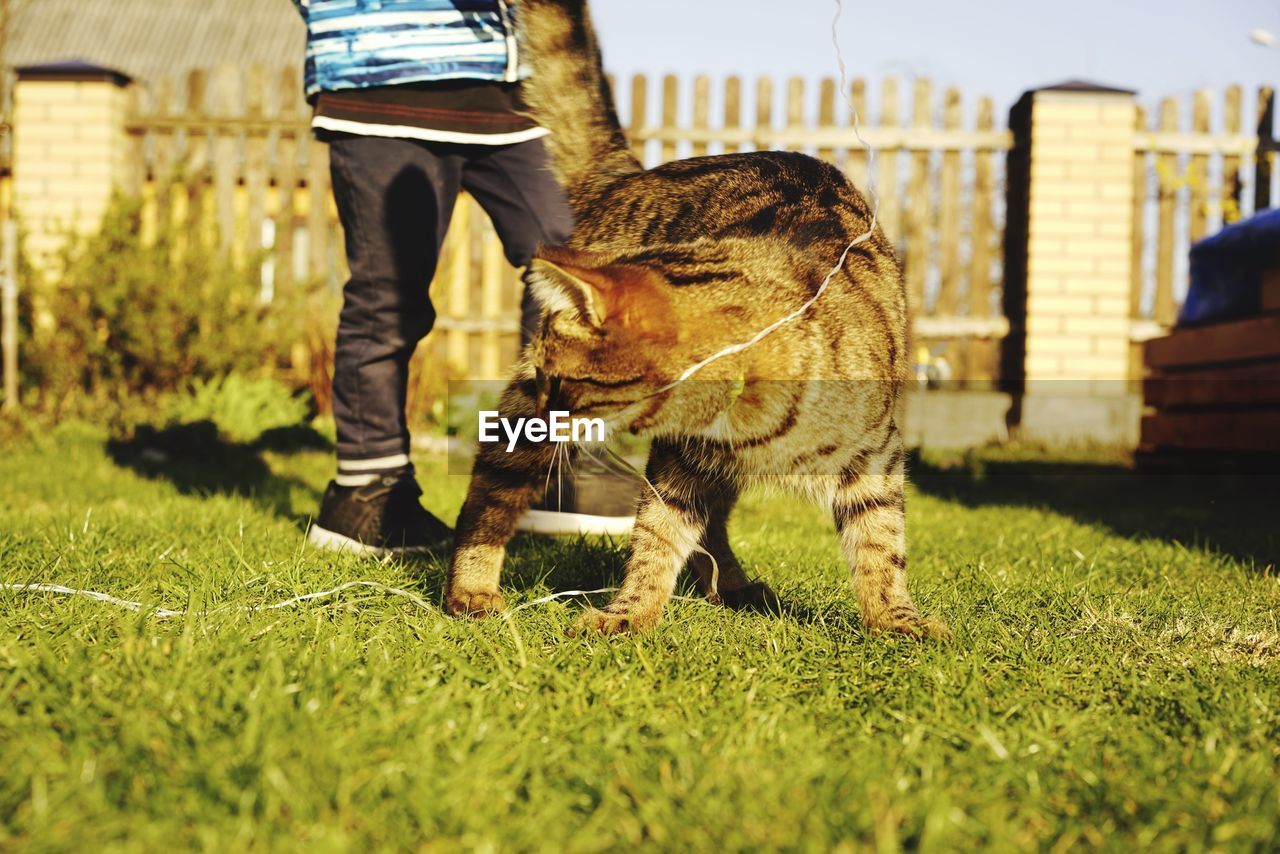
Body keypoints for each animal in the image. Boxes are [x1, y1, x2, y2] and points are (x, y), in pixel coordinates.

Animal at [445, 0, 947, 637]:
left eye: (562, 385)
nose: (543, 405)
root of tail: (631, 175)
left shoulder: (876, 453)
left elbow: (881, 540)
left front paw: (894, 617)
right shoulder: (677, 462)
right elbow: (656, 538)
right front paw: (630, 613)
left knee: (718, 526)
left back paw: (733, 586)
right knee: (492, 488)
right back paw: (472, 591)